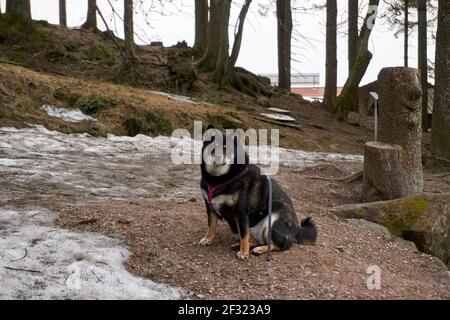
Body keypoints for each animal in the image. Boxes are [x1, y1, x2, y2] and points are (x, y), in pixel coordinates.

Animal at [199, 126, 318, 258]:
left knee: (279, 245)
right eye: (213, 147)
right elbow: (211, 225)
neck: (219, 179)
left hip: (273, 221)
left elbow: (244, 234)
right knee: (256, 239)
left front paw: (244, 252)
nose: (218, 157)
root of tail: (297, 229)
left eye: (227, 148)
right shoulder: (210, 206)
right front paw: (207, 238)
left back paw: (259, 249)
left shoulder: (241, 212)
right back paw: (242, 245)